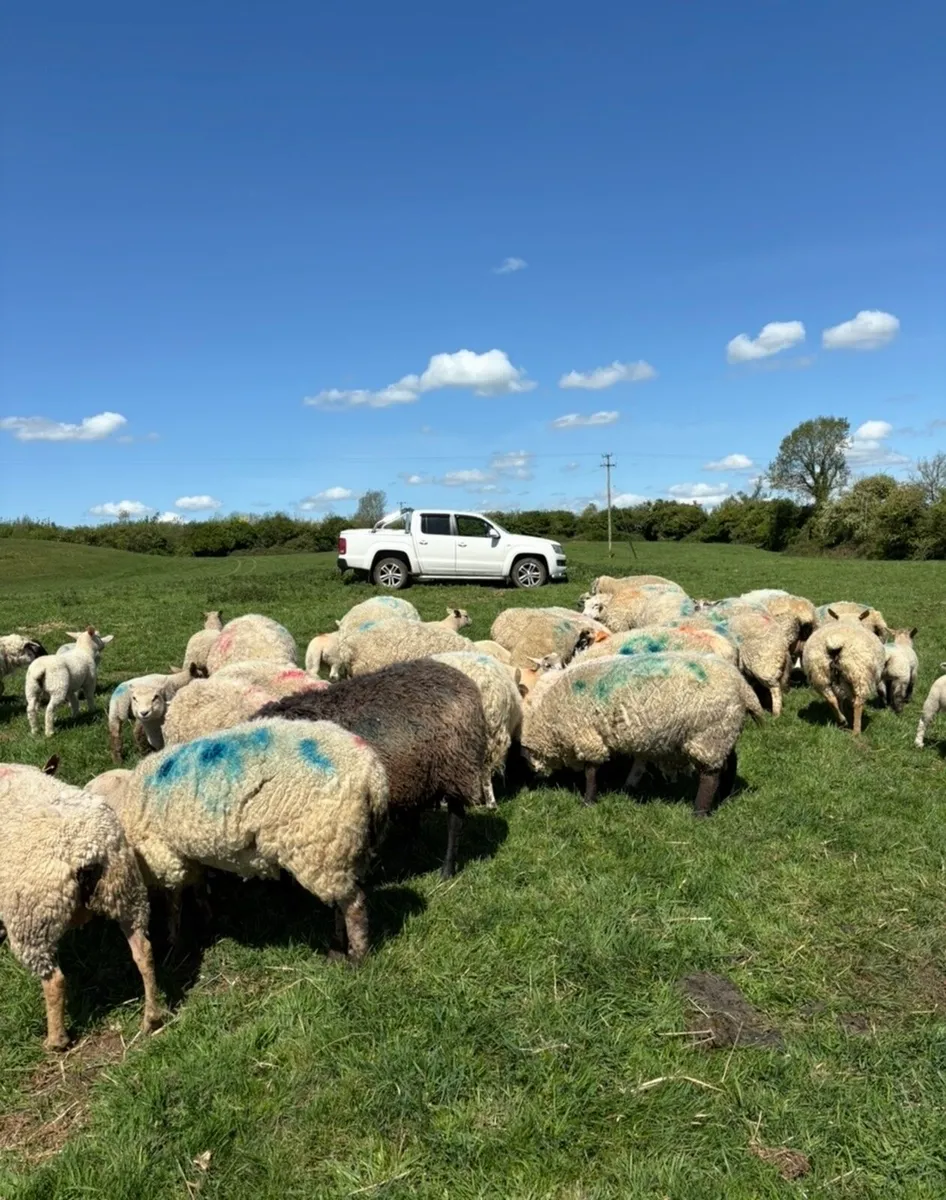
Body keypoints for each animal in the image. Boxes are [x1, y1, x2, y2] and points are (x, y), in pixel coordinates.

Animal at [0, 762, 163, 1050]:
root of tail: (87, 852)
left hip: (31, 921)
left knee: (54, 981)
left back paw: (56, 1040)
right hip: (126, 890)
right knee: (144, 951)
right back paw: (151, 1018)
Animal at [91, 719, 389, 963]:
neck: (125, 799)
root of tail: (374, 775)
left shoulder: (164, 855)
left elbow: (174, 902)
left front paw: (173, 942)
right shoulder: (188, 854)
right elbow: (198, 887)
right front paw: (207, 918)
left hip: (320, 843)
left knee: (354, 904)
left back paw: (357, 955)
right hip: (344, 847)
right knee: (342, 899)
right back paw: (338, 945)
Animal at [254, 659, 490, 879]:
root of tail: (457, 675)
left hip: (457, 769)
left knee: (455, 820)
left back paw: (446, 871)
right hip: (416, 774)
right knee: (414, 815)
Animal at [520, 652, 763, 814]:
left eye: (526, 757)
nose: (534, 778)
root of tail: (743, 686)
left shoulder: (587, 735)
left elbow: (591, 771)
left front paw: (588, 801)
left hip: (709, 732)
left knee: (710, 774)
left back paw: (700, 812)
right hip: (724, 728)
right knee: (730, 762)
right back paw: (724, 795)